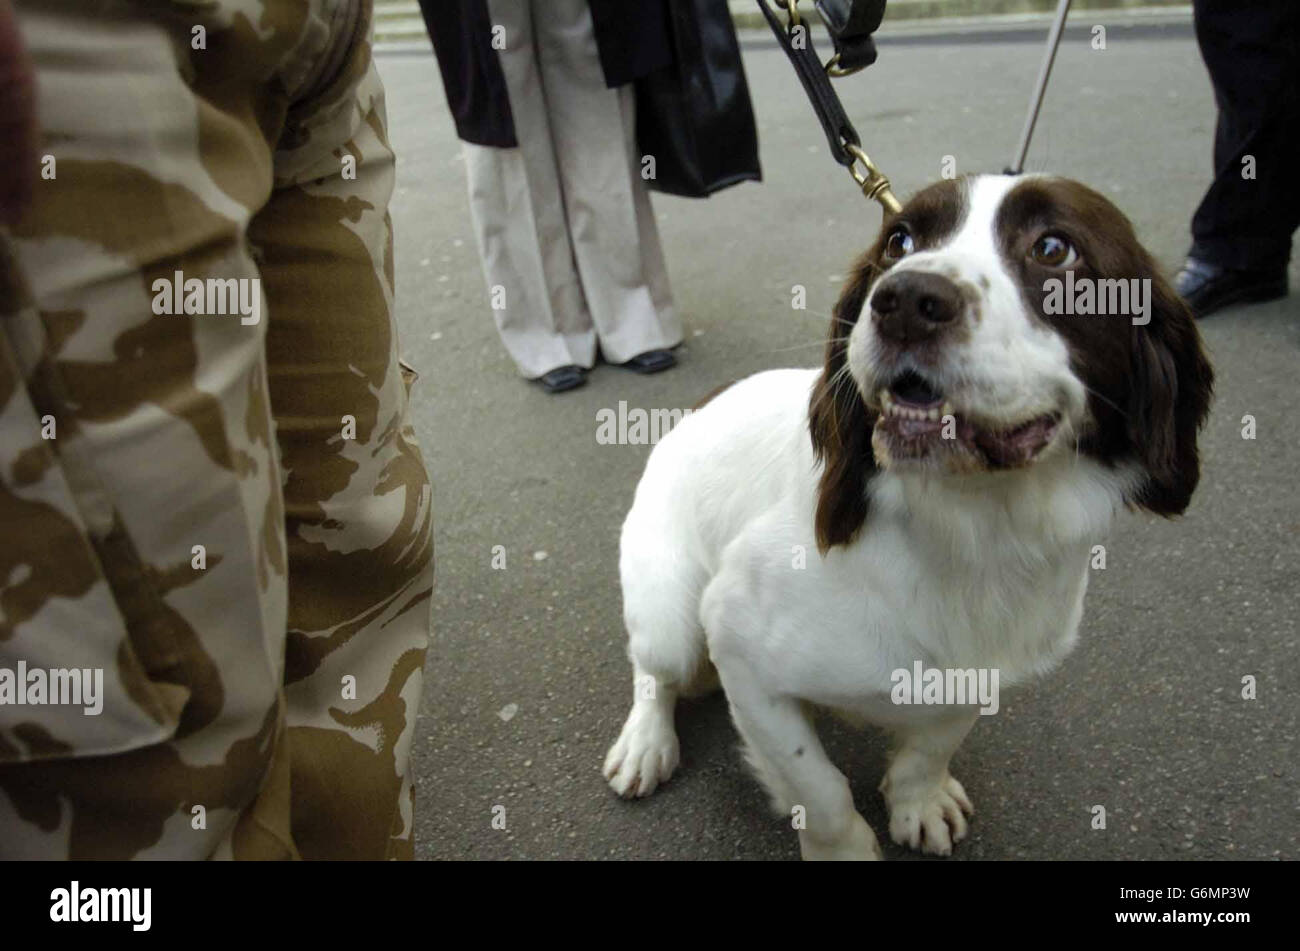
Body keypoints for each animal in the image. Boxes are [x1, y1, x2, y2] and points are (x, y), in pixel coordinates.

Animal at [603, 172, 1211, 862]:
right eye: (899, 240)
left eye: (1055, 249)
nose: (905, 300)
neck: (972, 527)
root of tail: (699, 404)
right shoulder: (737, 645)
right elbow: (819, 786)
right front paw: (843, 848)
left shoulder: (977, 666)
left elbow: (934, 742)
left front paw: (919, 800)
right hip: (671, 619)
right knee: (655, 671)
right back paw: (646, 743)